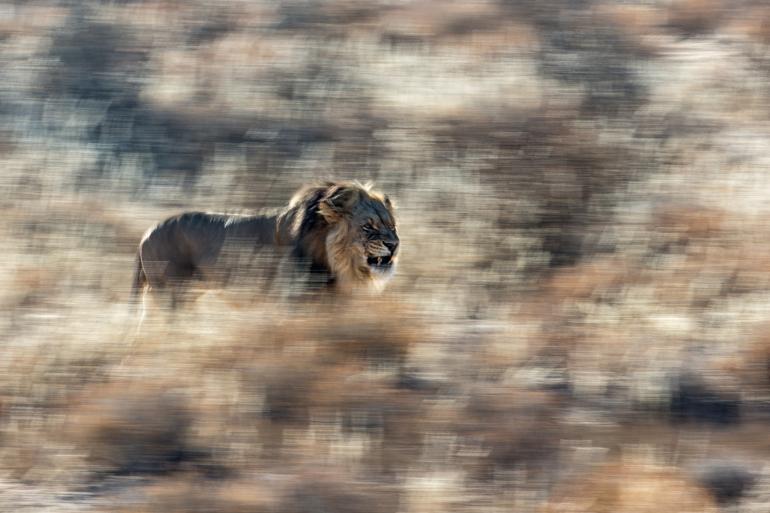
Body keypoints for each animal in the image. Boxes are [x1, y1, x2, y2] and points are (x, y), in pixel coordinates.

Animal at [130, 180, 400, 308]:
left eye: (392, 226)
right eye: (368, 227)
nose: (394, 245)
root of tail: (145, 234)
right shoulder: (292, 300)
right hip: (171, 293)